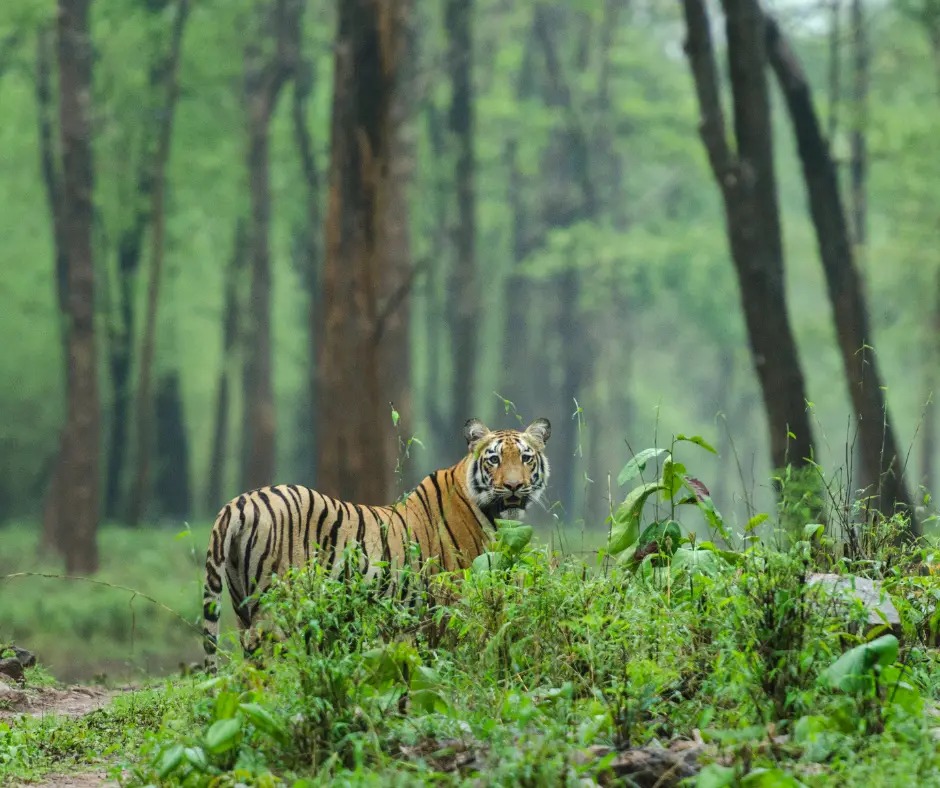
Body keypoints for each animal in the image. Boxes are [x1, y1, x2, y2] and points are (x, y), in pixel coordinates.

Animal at [202, 417, 551, 671]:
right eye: (493, 459)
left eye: (525, 458)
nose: (514, 486)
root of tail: (238, 502)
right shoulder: (452, 603)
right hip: (277, 610)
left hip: (243, 606)